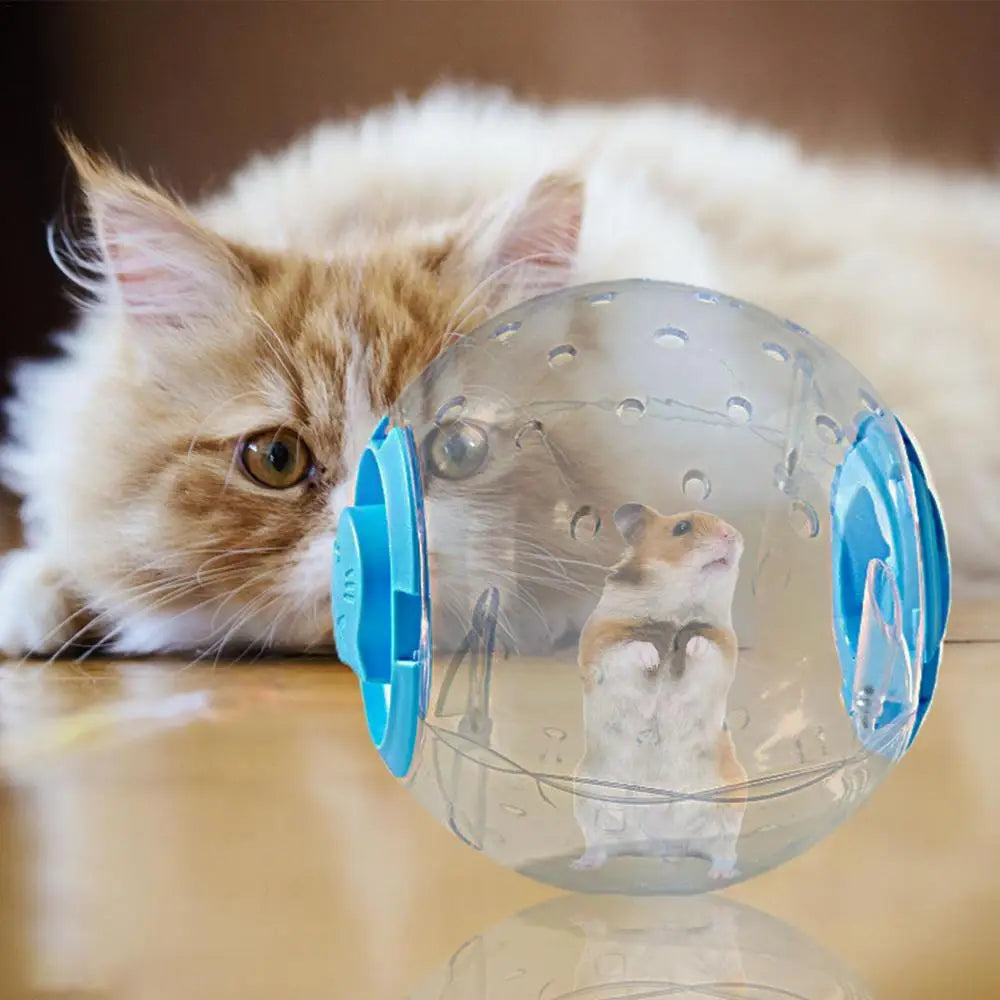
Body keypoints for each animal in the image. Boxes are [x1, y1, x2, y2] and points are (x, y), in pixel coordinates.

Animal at [572, 503, 747, 880]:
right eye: (682, 528)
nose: (734, 535)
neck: (677, 611)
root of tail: (658, 845)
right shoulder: (601, 640)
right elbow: (630, 649)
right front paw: (653, 655)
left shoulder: (724, 645)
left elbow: (704, 646)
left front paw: (690, 645)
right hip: (589, 798)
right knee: (600, 845)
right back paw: (581, 865)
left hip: (729, 802)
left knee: (722, 849)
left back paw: (719, 874)